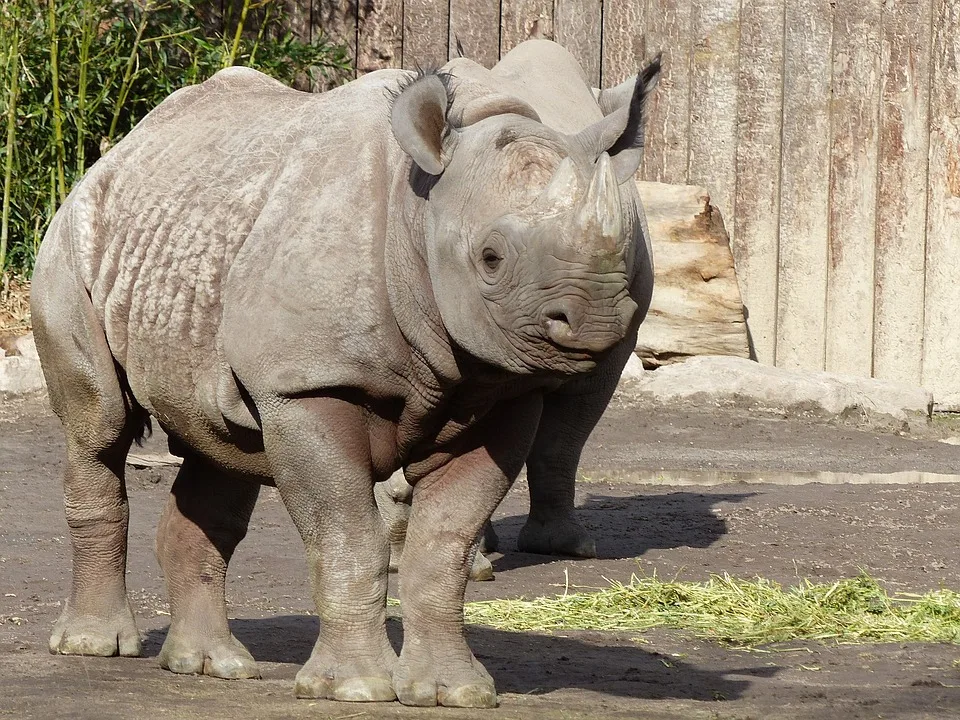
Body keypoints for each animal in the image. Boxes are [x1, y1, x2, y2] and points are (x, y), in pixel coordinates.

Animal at [31, 40, 660, 708]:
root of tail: (120, 151)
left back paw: (213, 665)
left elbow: (445, 546)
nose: (598, 319)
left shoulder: (504, 396)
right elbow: (347, 536)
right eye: (490, 259)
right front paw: (355, 688)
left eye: (624, 248)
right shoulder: (307, 385)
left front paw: (452, 692)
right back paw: (94, 646)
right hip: (73, 238)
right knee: (99, 426)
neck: (420, 212)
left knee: (222, 445)